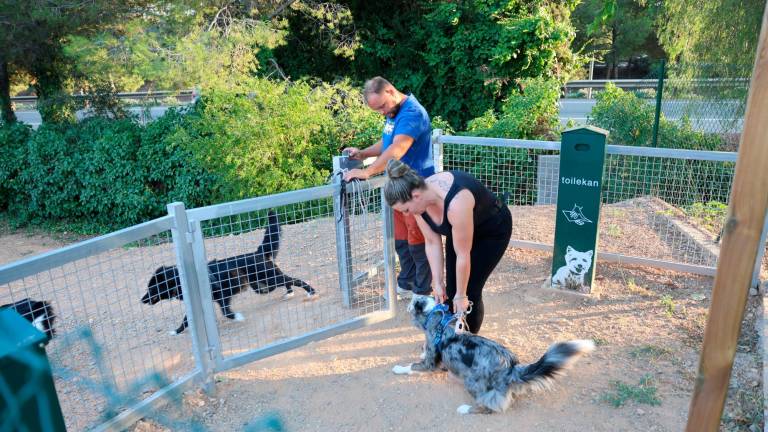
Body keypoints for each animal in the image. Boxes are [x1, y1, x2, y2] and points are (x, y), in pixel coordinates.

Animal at [141, 211, 316, 336]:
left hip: (269, 277)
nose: (141, 300)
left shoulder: (222, 296)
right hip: (261, 283)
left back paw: (310, 291)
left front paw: (238, 317)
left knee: (293, 279)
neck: (183, 279)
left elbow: (226, 312)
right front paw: (176, 331)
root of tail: (257, 252)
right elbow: (185, 321)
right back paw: (289, 293)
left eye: (152, 288)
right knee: (284, 282)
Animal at [396, 296, 592, 414]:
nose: (409, 298)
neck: (436, 317)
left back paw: (465, 409)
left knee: (488, 406)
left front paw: (398, 369)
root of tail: (511, 366)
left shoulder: (430, 361)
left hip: (472, 382)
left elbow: (412, 366)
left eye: (413, 301)